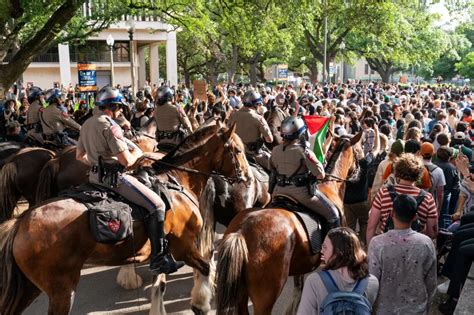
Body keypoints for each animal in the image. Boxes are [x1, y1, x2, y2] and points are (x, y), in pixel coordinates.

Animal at [0, 124, 250, 314]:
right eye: (237, 150)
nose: (246, 177)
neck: (176, 179)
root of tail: (20, 223)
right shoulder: (184, 247)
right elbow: (205, 268)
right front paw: (201, 301)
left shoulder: (163, 250)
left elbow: (161, 284)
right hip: (61, 289)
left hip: (29, 288)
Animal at [217, 135, 362, 314]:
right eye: (359, 150)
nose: (359, 172)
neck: (330, 187)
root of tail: (241, 231)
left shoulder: (303, 264)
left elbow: (298, 291)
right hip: (265, 297)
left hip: (241, 293)